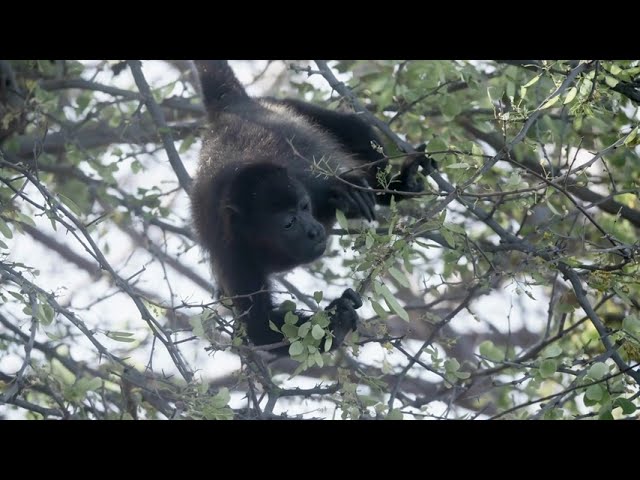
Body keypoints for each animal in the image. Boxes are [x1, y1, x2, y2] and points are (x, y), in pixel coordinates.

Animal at [191, 60, 430, 354]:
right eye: (288, 222)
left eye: (304, 207)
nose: (314, 231)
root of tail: (227, 110)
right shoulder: (232, 253)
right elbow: (261, 328)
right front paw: (337, 318)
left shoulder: (305, 181)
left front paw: (349, 195)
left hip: (280, 104)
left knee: (349, 125)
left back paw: (396, 186)